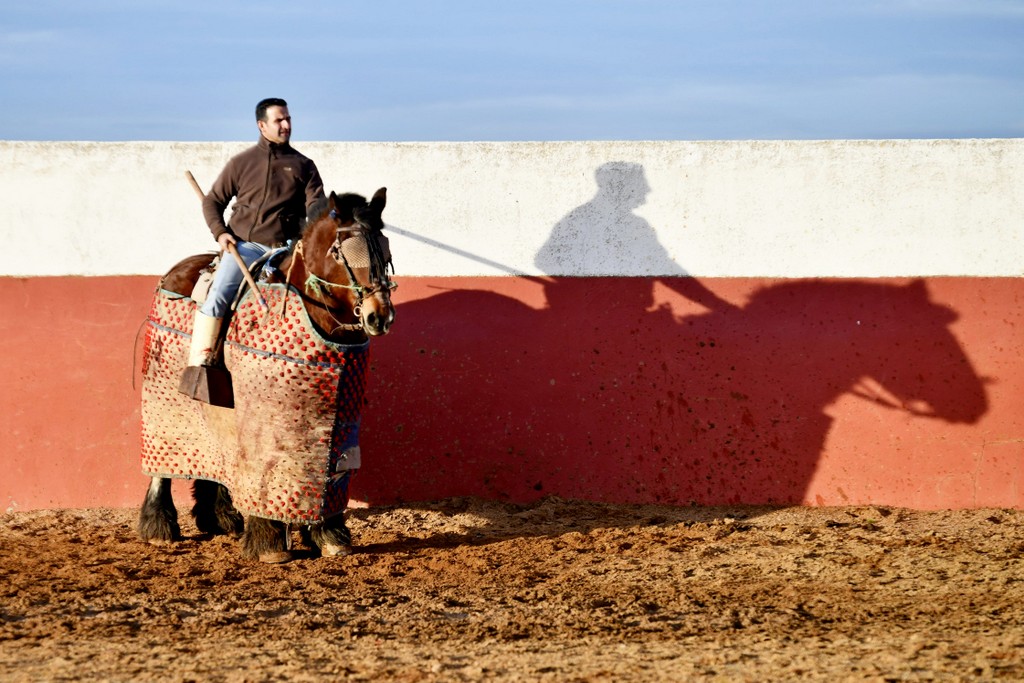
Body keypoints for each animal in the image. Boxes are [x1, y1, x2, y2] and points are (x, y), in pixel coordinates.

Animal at [142, 185, 397, 561]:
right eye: (343, 255)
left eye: (386, 250)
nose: (379, 316)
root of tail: (176, 271)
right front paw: (270, 541)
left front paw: (329, 534)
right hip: (163, 406)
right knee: (163, 460)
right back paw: (159, 524)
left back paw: (220, 517)